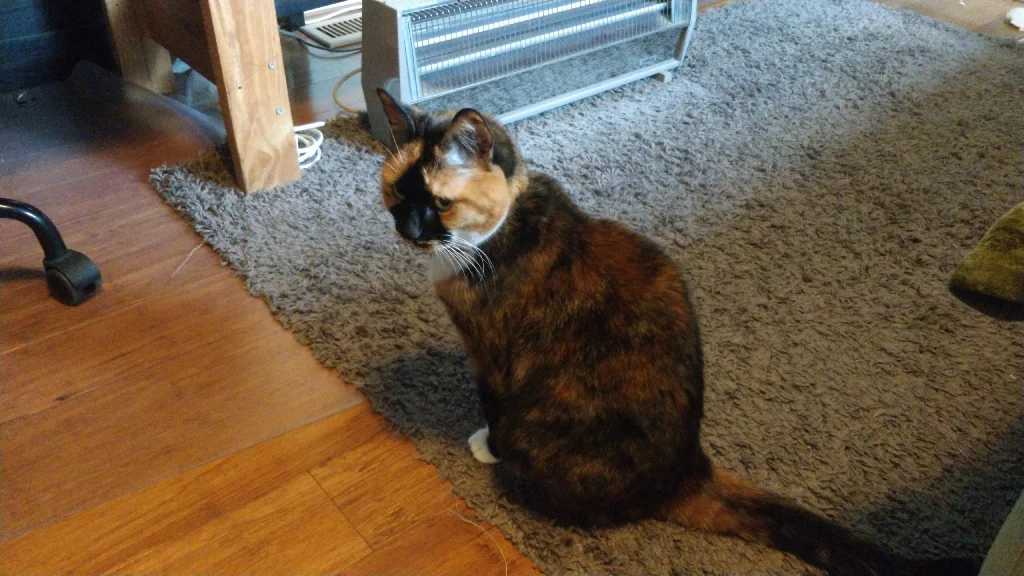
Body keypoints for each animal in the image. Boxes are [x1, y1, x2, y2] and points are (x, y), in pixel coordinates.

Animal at [374, 89, 974, 573]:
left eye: (440, 203)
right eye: (399, 195)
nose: (409, 231)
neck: (493, 235)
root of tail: (689, 470)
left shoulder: (490, 355)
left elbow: (493, 408)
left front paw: (485, 445)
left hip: (543, 435)